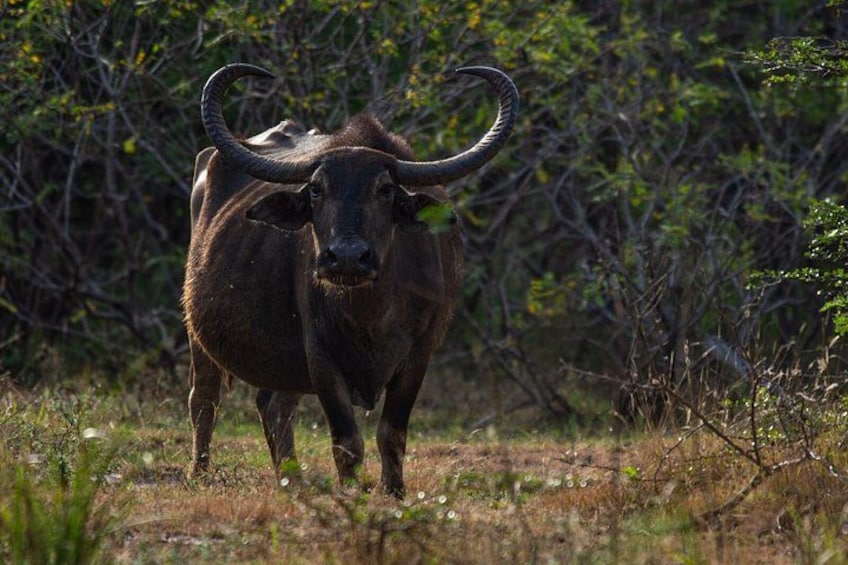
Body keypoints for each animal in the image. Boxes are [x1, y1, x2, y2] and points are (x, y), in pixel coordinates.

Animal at [183, 63, 518, 497]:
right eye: (315, 189)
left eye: (386, 188)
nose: (346, 257)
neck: (368, 313)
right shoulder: (320, 355)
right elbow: (347, 440)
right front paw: (352, 490)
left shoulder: (419, 353)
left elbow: (392, 431)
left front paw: (393, 490)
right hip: (198, 330)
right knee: (205, 396)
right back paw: (200, 474)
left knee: (274, 406)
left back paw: (291, 478)